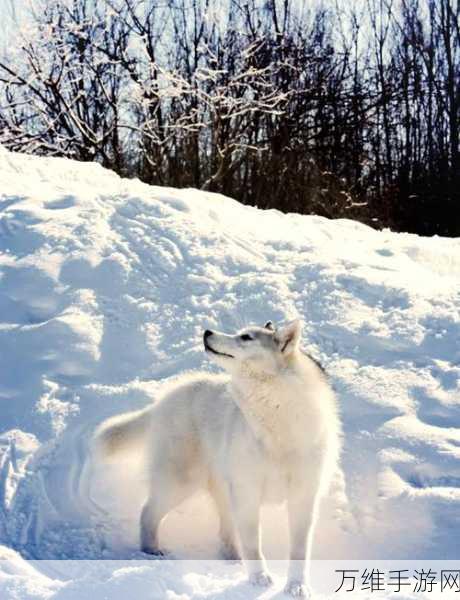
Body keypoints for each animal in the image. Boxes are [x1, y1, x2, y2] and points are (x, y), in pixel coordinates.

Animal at [93, 318, 342, 596]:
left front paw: (297, 587)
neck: (277, 418)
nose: (207, 332)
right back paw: (151, 550)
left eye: (246, 337)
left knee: (224, 532)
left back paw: (232, 559)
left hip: (220, 489)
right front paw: (259, 579)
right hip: (182, 483)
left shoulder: (303, 498)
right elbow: (253, 545)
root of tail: (163, 400)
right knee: (147, 513)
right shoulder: (248, 492)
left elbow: (298, 551)